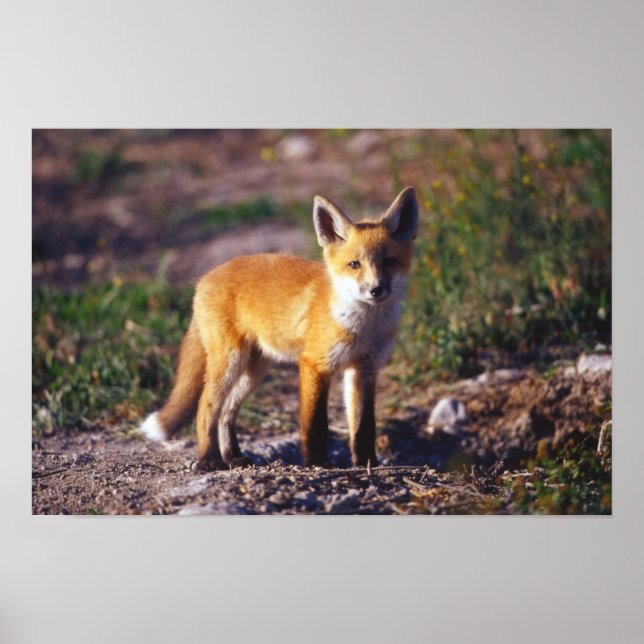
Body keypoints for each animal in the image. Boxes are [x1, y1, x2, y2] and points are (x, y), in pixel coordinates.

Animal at [139, 187, 418, 471]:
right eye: (354, 264)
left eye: (389, 262)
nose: (376, 289)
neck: (364, 327)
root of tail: (205, 277)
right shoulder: (314, 364)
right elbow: (316, 423)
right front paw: (318, 463)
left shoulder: (364, 368)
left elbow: (365, 426)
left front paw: (367, 463)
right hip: (230, 362)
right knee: (206, 407)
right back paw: (209, 459)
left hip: (255, 369)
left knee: (227, 412)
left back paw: (233, 456)